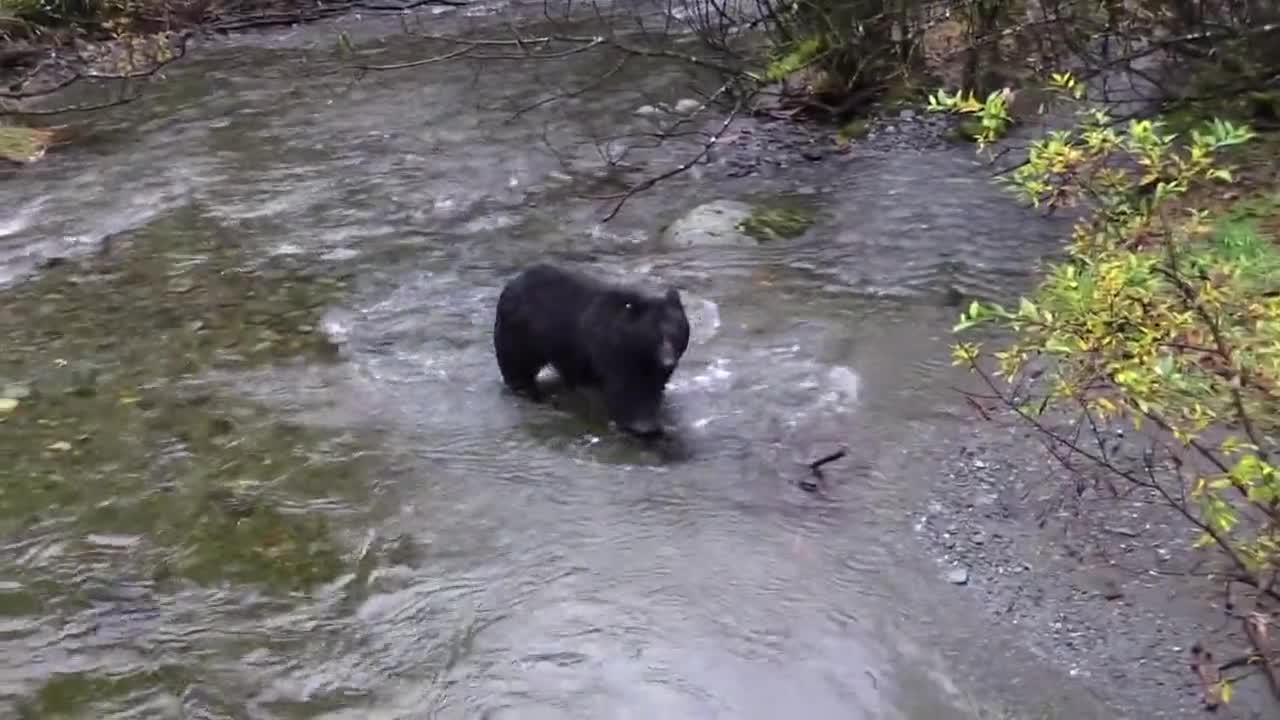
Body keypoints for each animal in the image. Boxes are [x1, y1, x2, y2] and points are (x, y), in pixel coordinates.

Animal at [494, 260, 691, 435]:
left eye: (676, 335)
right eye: (656, 336)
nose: (668, 362)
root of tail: (511, 283)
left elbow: (652, 384)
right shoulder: (610, 346)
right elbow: (625, 384)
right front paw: (640, 424)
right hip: (522, 332)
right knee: (517, 362)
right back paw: (525, 388)